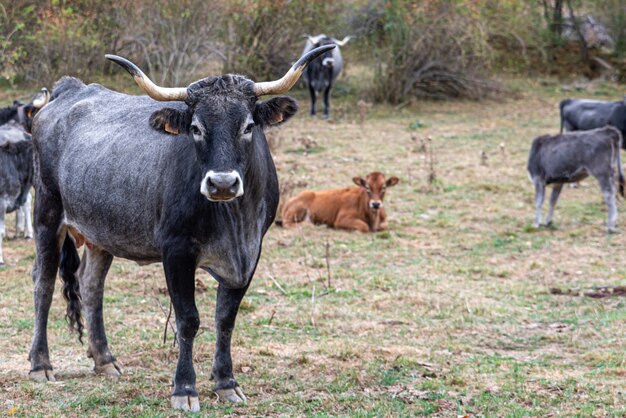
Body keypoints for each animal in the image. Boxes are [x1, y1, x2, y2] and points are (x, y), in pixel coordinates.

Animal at [28, 45, 334, 412]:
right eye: (196, 128)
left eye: (248, 126)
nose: (222, 183)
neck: (233, 221)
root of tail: (68, 90)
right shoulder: (176, 252)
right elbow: (188, 319)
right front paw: (185, 388)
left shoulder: (250, 252)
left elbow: (226, 318)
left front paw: (226, 382)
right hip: (47, 215)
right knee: (43, 284)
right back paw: (41, 364)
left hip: (100, 233)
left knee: (91, 285)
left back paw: (105, 359)